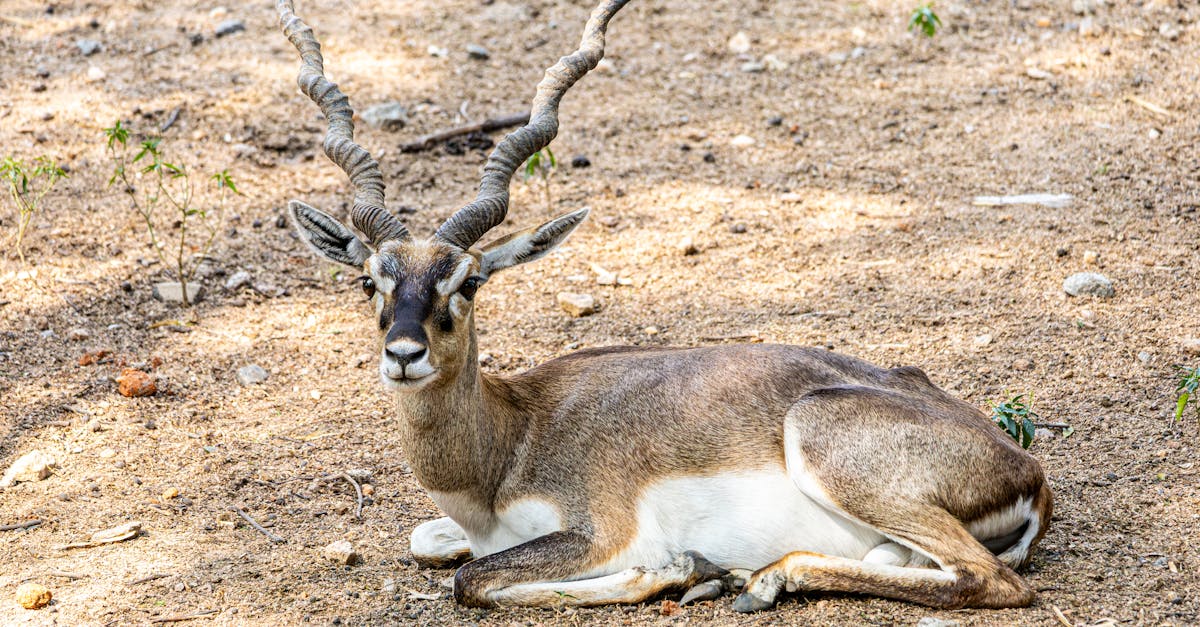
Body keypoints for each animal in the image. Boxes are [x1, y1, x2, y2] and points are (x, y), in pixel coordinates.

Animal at [278, 0, 1051, 610]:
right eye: (369, 281)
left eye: (466, 282)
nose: (403, 354)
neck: (508, 439)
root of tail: (1026, 469)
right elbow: (434, 546)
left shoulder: (601, 531)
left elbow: (474, 580)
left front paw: (676, 569)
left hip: (829, 446)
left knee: (987, 579)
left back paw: (748, 578)